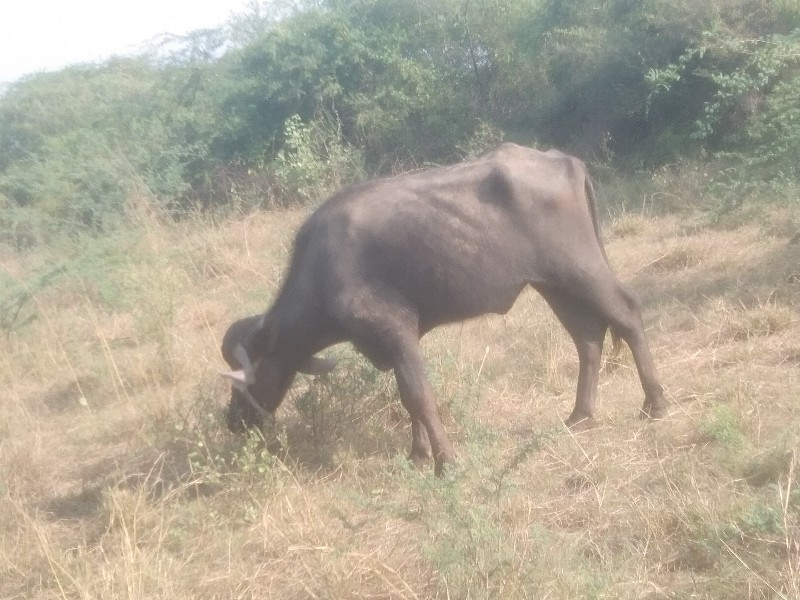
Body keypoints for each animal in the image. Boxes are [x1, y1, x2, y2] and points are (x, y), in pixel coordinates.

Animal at [222, 144, 664, 474]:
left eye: (242, 380)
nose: (232, 420)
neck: (324, 268)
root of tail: (564, 161)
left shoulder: (394, 330)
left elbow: (418, 395)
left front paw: (444, 461)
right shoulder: (396, 342)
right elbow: (405, 396)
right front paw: (417, 454)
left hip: (581, 268)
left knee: (628, 313)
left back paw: (654, 404)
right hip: (552, 283)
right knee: (587, 337)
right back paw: (580, 415)